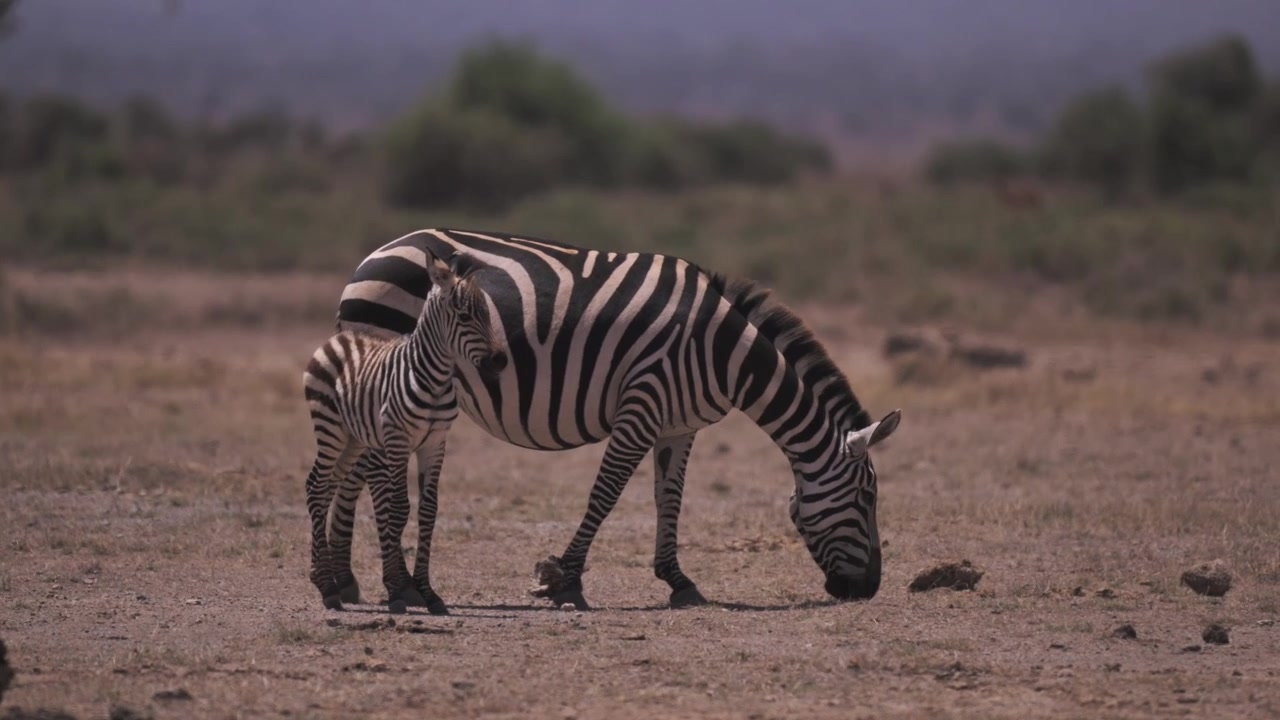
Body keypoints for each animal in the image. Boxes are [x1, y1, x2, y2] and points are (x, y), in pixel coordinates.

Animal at [302, 249, 508, 613]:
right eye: (464, 315)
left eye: (487, 313)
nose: (499, 361)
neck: (435, 380)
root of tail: (341, 336)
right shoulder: (398, 439)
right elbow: (397, 509)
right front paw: (398, 590)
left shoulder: (435, 443)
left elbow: (428, 511)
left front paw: (428, 593)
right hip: (330, 428)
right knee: (316, 487)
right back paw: (327, 588)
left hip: (354, 439)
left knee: (326, 488)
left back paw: (325, 581)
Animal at [330, 228, 902, 612]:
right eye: (866, 497)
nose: (867, 589)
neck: (724, 352)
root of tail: (371, 256)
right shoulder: (642, 404)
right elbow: (605, 494)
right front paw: (564, 581)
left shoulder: (680, 423)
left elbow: (669, 497)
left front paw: (678, 581)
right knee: (367, 473)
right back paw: (387, 585)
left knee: (352, 470)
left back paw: (343, 582)